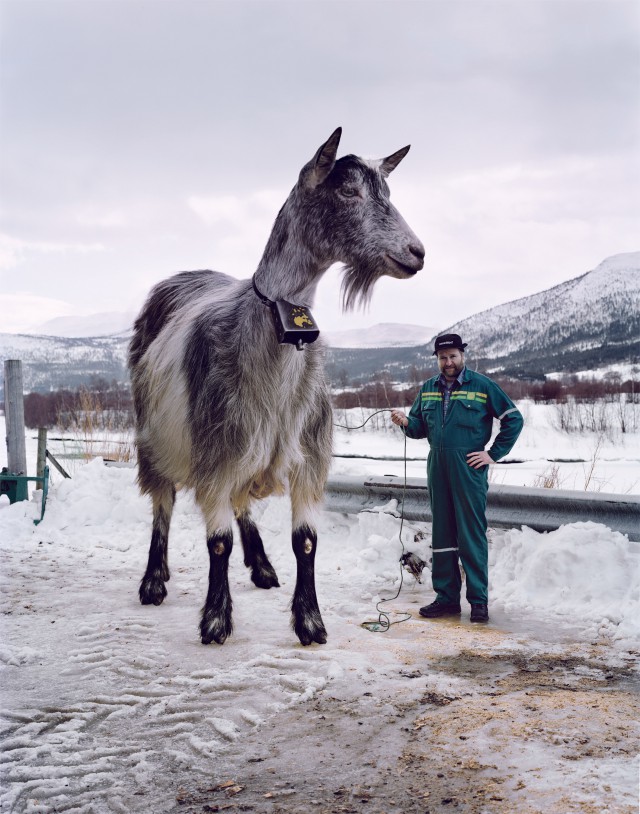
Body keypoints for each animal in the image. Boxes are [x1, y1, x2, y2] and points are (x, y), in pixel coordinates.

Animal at [129, 128, 424, 645]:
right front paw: (215, 620)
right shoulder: (215, 453)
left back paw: (262, 566)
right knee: (162, 503)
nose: (417, 252)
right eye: (348, 191)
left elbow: (305, 542)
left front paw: (310, 621)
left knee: (240, 501)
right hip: (155, 437)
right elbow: (217, 543)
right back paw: (154, 580)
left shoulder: (305, 455)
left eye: (387, 191)